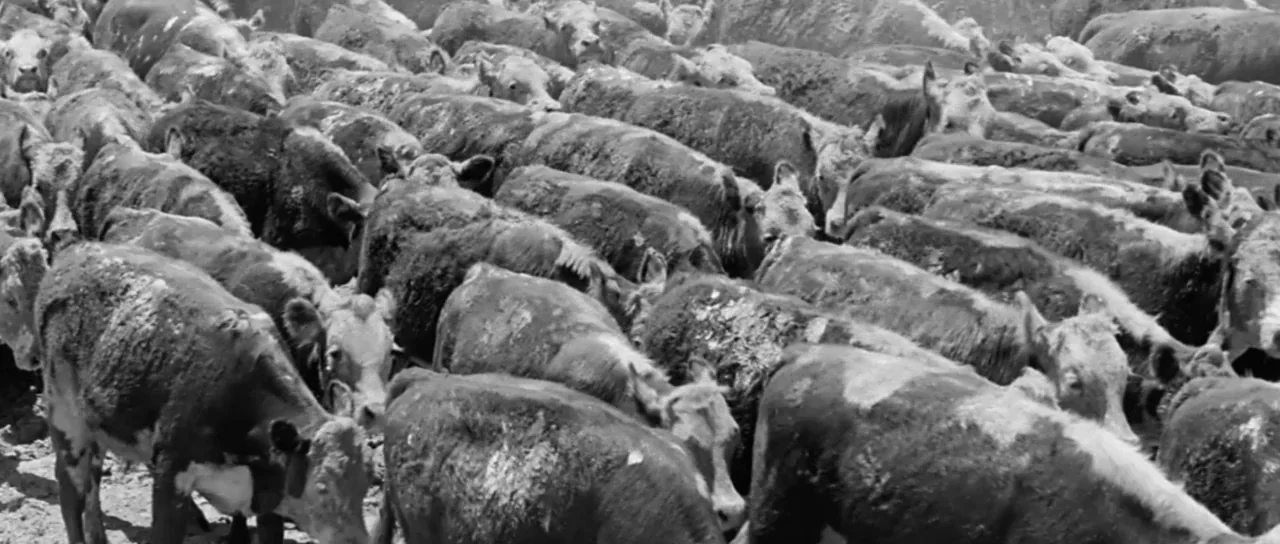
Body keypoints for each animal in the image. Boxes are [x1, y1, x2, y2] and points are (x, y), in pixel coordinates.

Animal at [28, 241, 370, 544]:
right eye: (323, 488)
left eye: (366, 484)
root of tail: (75, 251)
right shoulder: (172, 475)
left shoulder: (270, 493)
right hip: (65, 417)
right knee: (71, 489)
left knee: (93, 481)